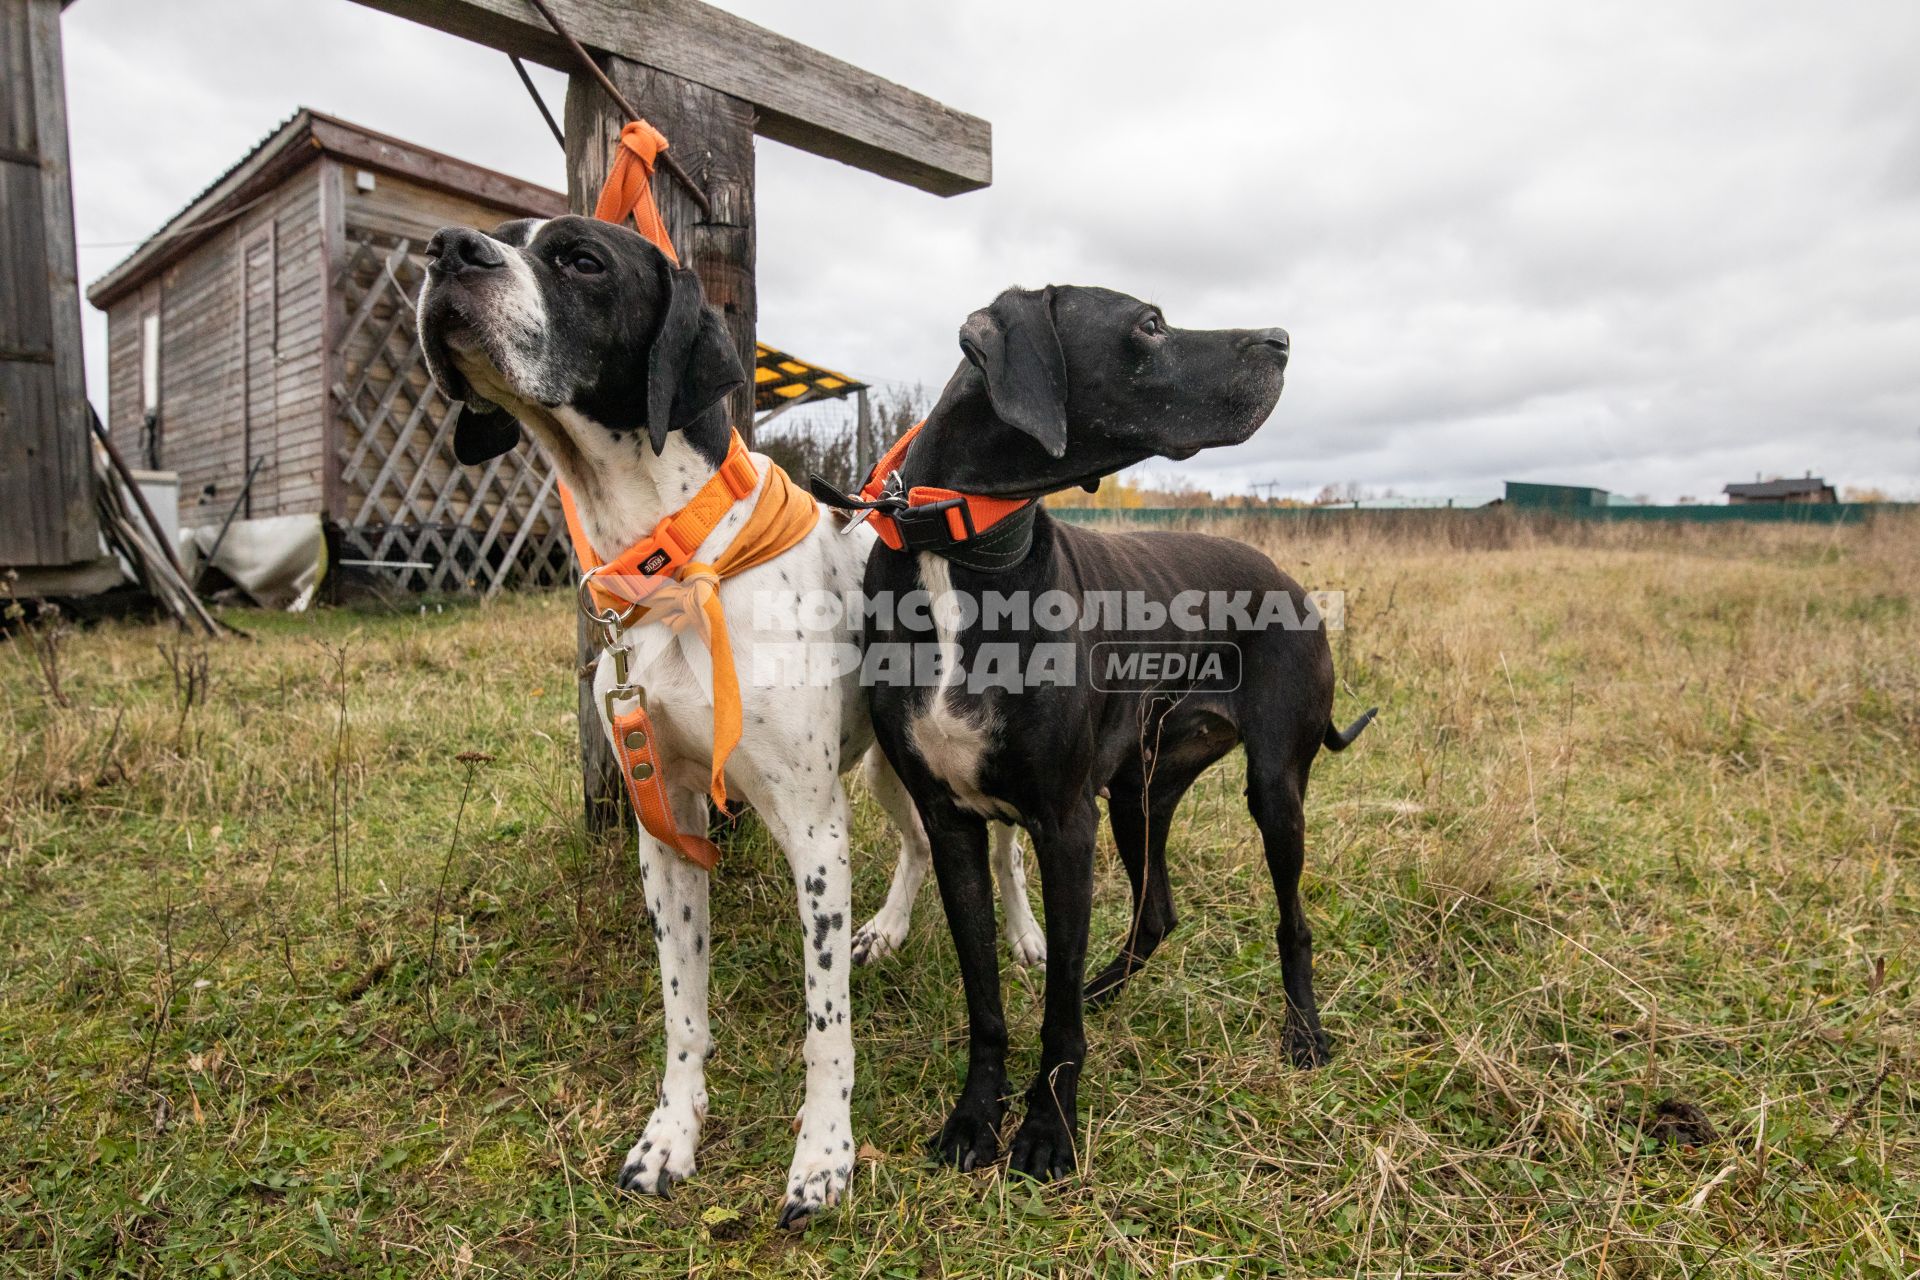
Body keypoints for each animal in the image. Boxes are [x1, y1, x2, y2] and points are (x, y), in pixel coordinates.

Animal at [864, 282, 1374, 1182]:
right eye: (1150, 324)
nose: (1282, 339)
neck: (960, 550)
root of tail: (1287, 579)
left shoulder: (1065, 824)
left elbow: (1056, 1012)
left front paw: (1047, 1130)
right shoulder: (951, 822)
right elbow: (985, 996)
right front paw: (974, 1118)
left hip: (1274, 789)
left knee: (1292, 920)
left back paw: (1304, 1033)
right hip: (1141, 792)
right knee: (1156, 911)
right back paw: (1110, 988)